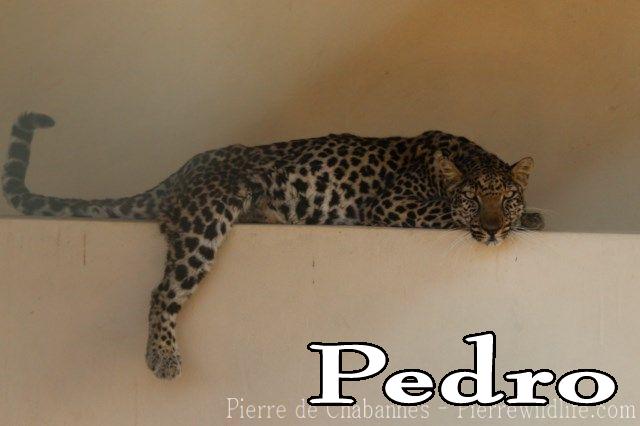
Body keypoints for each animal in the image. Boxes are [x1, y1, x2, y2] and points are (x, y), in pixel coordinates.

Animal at [2, 112, 544, 380]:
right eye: (473, 200)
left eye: (506, 197)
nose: (494, 229)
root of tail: (181, 170)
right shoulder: (392, 204)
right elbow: (441, 215)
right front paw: (527, 220)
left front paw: (529, 216)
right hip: (209, 216)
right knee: (163, 291)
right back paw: (162, 355)